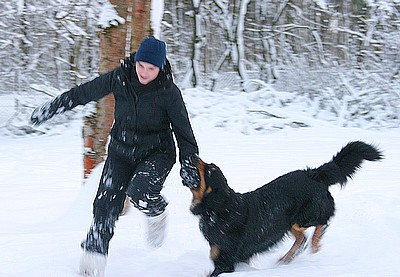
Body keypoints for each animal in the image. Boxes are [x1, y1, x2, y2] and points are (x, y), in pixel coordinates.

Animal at [187, 141, 382, 274]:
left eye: (210, 170)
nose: (193, 155)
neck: (219, 208)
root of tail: (314, 174)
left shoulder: (225, 261)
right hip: (286, 222)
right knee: (302, 238)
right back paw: (286, 259)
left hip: (304, 216)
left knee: (322, 221)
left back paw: (315, 246)